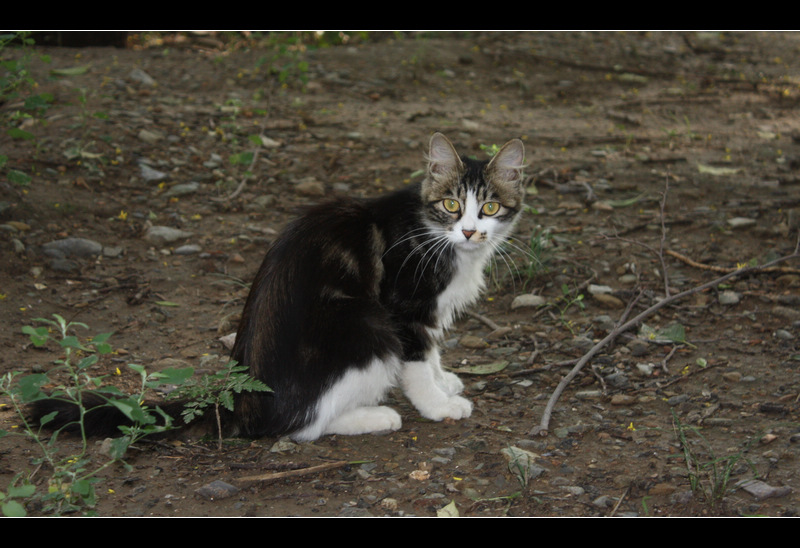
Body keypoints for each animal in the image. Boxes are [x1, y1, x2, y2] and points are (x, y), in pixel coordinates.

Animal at [31, 135, 528, 444]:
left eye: (489, 208)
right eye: (450, 204)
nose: (470, 232)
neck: (431, 230)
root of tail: (241, 398)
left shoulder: (431, 312)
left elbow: (434, 350)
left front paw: (445, 380)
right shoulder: (404, 308)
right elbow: (418, 362)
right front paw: (437, 404)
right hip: (365, 324)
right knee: (301, 425)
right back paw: (374, 416)